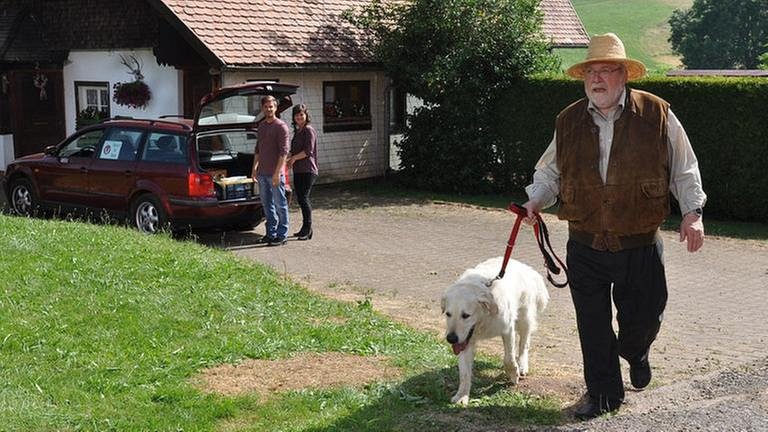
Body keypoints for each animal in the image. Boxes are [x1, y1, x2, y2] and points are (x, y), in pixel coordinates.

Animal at [440, 256, 548, 404]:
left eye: (466, 315)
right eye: (448, 314)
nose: (451, 339)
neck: (484, 319)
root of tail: (524, 266)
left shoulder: (507, 329)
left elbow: (508, 359)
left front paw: (513, 374)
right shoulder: (465, 341)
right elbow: (464, 373)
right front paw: (462, 396)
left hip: (524, 318)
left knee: (524, 344)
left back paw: (522, 365)